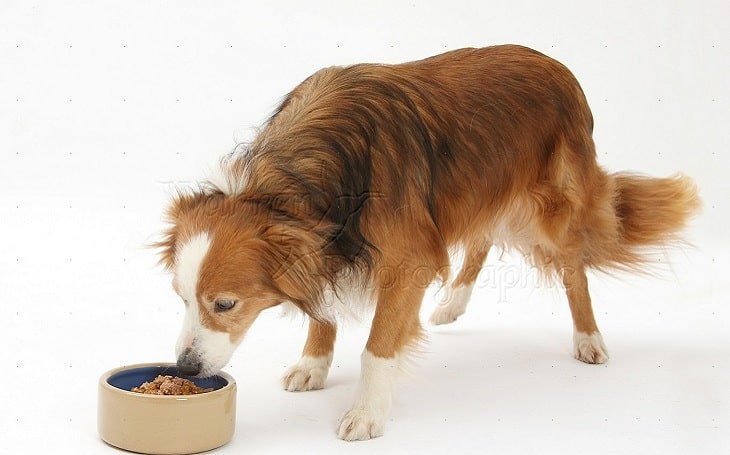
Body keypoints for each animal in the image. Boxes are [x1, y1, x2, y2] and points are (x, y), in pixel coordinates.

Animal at [156, 45, 696, 442]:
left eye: (225, 304)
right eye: (180, 299)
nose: (186, 368)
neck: (298, 177)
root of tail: (559, 68)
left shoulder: (406, 260)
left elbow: (377, 349)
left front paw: (367, 413)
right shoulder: (331, 246)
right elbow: (323, 307)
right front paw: (313, 364)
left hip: (550, 213)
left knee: (573, 268)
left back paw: (589, 339)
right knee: (482, 238)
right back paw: (453, 304)